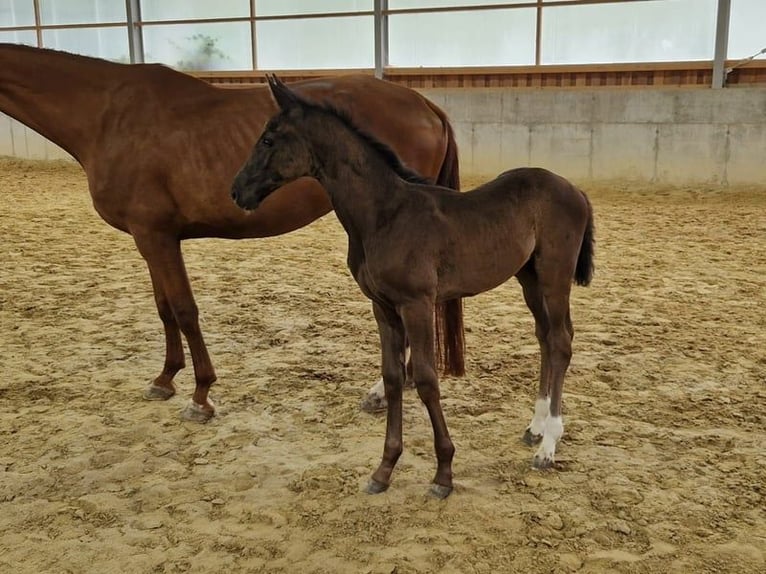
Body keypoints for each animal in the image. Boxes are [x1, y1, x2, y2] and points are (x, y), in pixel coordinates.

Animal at [0, 43, 462, 422]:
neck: (108, 116)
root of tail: (425, 105)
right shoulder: (148, 239)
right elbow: (164, 309)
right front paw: (165, 380)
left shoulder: (156, 236)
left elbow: (184, 310)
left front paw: (200, 395)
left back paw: (381, 391)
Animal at [231, 75, 594, 498]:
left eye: (268, 139)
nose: (237, 191)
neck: (385, 214)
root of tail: (575, 189)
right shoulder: (384, 307)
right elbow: (392, 378)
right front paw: (384, 470)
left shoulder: (417, 304)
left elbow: (424, 379)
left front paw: (443, 474)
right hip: (529, 278)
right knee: (545, 338)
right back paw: (536, 427)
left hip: (554, 277)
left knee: (562, 340)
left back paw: (548, 445)